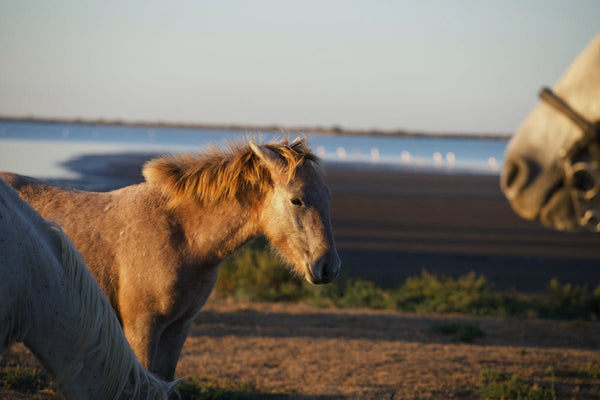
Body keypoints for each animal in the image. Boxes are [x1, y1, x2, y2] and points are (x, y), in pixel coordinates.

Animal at [0, 138, 340, 378]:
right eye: (297, 200)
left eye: (328, 196)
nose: (329, 266)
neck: (182, 236)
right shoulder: (142, 328)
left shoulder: (177, 329)